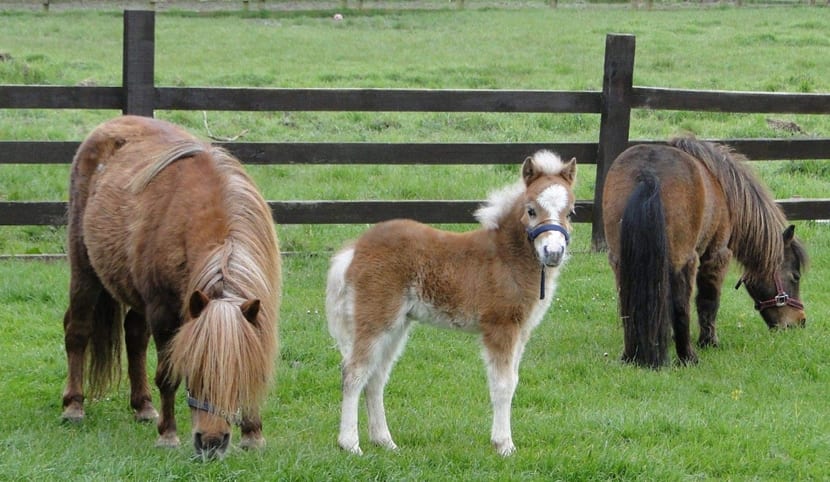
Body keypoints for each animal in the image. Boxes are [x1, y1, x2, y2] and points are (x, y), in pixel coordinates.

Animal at [61, 115, 281, 459]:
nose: (211, 443)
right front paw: (168, 434)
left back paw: (142, 406)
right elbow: (166, 376)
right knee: (77, 330)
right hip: (85, 271)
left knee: (134, 336)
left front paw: (253, 433)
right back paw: (73, 406)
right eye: (194, 369)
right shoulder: (164, 313)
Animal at [325, 150, 576, 456]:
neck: (507, 258)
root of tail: (355, 249)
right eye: (531, 210)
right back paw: (350, 444)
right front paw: (504, 445)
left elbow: (514, 380)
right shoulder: (500, 327)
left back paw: (385, 441)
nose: (553, 252)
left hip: (397, 324)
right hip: (374, 319)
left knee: (376, 378)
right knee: (354, 372)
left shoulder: (522, 330)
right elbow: (503, 384)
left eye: (571, 212)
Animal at [602, 136, 807, 368]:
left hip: (621, 261)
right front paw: (709, 341)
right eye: (795, 276)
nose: (800, 321)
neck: (723, 188)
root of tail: (647, 174)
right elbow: (709, 300)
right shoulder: (717, 255)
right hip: (684, 260)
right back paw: (688, 357)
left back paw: (631, 355)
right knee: (681, 306)